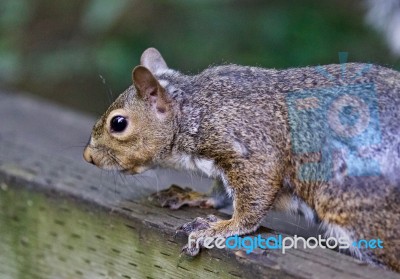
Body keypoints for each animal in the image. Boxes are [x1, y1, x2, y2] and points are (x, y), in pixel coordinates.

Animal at [83, 47, 400, 272]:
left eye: (119, 123)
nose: (88, 156)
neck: (193, 110)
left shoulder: (250, 147)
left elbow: (253, 201)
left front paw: (220, 228)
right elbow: (221, 192)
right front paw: (194, 196)